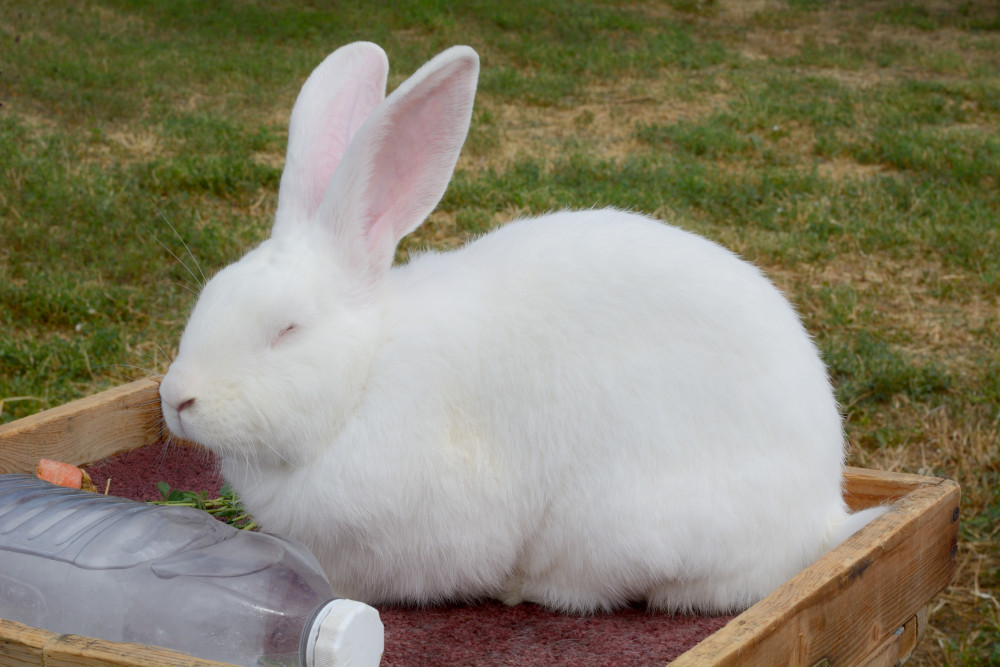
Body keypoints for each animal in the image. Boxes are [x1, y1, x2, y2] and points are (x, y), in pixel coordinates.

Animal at [158, 41, 885, 615]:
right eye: (210, 295)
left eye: (287, 330)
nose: (176, 399)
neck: (365, 375)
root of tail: (821, 516)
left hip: (619, 527)